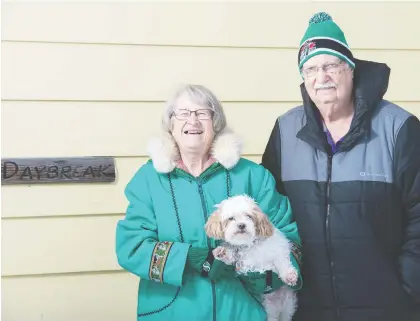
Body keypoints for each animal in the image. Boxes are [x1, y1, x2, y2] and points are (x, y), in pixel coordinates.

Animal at [204, 192, 296, 320]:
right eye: (231, 218)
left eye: (248, 216)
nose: (241, 225)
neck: (249, 244)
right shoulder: (241, 263)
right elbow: (231, 257)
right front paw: (222, 252)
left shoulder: (278, 249)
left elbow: (281, 262)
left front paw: (289, 276)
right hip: (271, 310)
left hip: (287, 306)